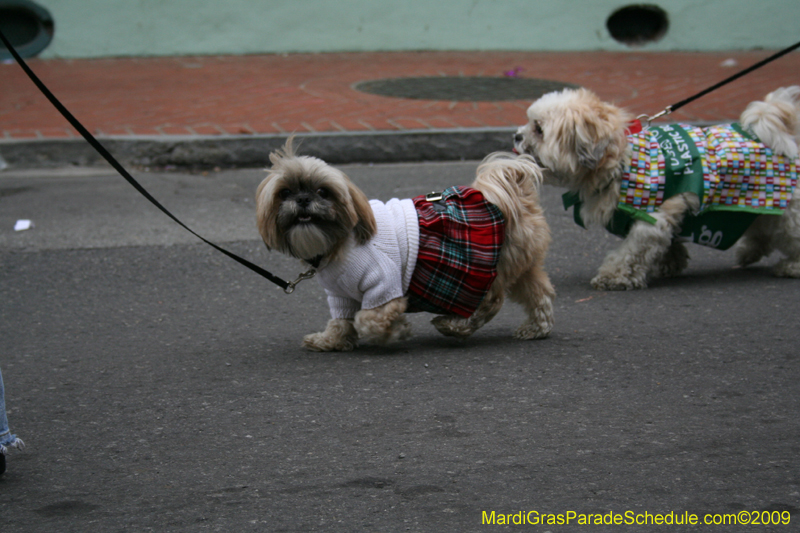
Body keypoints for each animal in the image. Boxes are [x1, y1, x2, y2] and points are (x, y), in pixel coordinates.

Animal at [256, 139, 556, 352]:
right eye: (284, 192)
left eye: (323, 191)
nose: (303, 199)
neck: (340, 242)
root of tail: (506, 197)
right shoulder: (340, 294)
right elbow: (341, 320)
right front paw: (330, 340)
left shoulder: (383, 283)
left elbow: (368, 319)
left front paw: (396, 330)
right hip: (520, 265)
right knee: (539, 295)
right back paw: (536, 328)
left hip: (482, 268)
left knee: (490, 301)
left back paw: (454, 324)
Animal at [516, 86, 796, 290]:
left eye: (539, 129)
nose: (517, 136)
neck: (619, 160)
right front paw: (671, 261)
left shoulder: (651, 218)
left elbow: (631, 252)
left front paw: (614, 276)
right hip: (755, 207)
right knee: (761, 230)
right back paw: (750, 252)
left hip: (784, 211)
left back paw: (791, 266)